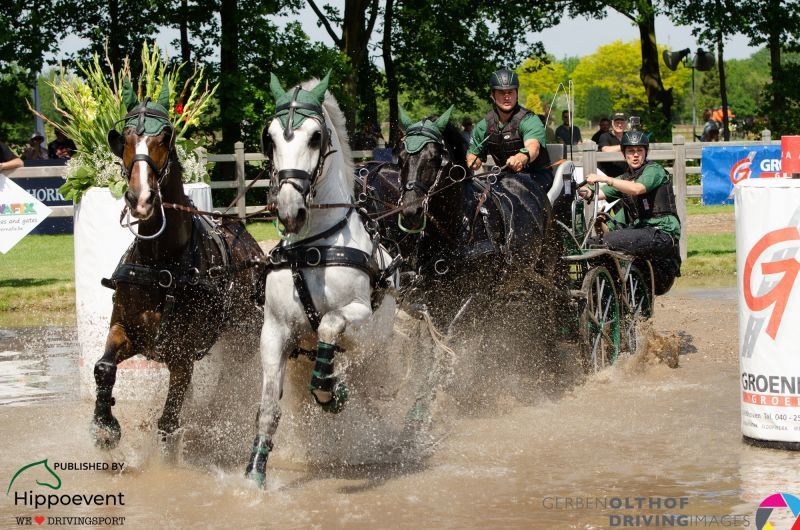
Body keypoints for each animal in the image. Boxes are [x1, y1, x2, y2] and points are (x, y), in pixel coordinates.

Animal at [92, 82, 264, 446]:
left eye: (165, 137)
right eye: (124, 138)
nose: (141, 199)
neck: (162, 263)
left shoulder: (182, 357)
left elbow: (168, 421)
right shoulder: (125, 328)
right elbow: (103, 368)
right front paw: (104, 424)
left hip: (242, 341)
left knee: (229, 385)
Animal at [242, 72, 396, 484]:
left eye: (315, 137)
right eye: (270, 137)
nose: (288, 210)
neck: (313, 247)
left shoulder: (359, 314)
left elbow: (329, 323)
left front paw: (330, 392)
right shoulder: (274, 330)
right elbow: (268, 408)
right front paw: (255, 473)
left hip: (376, 358)